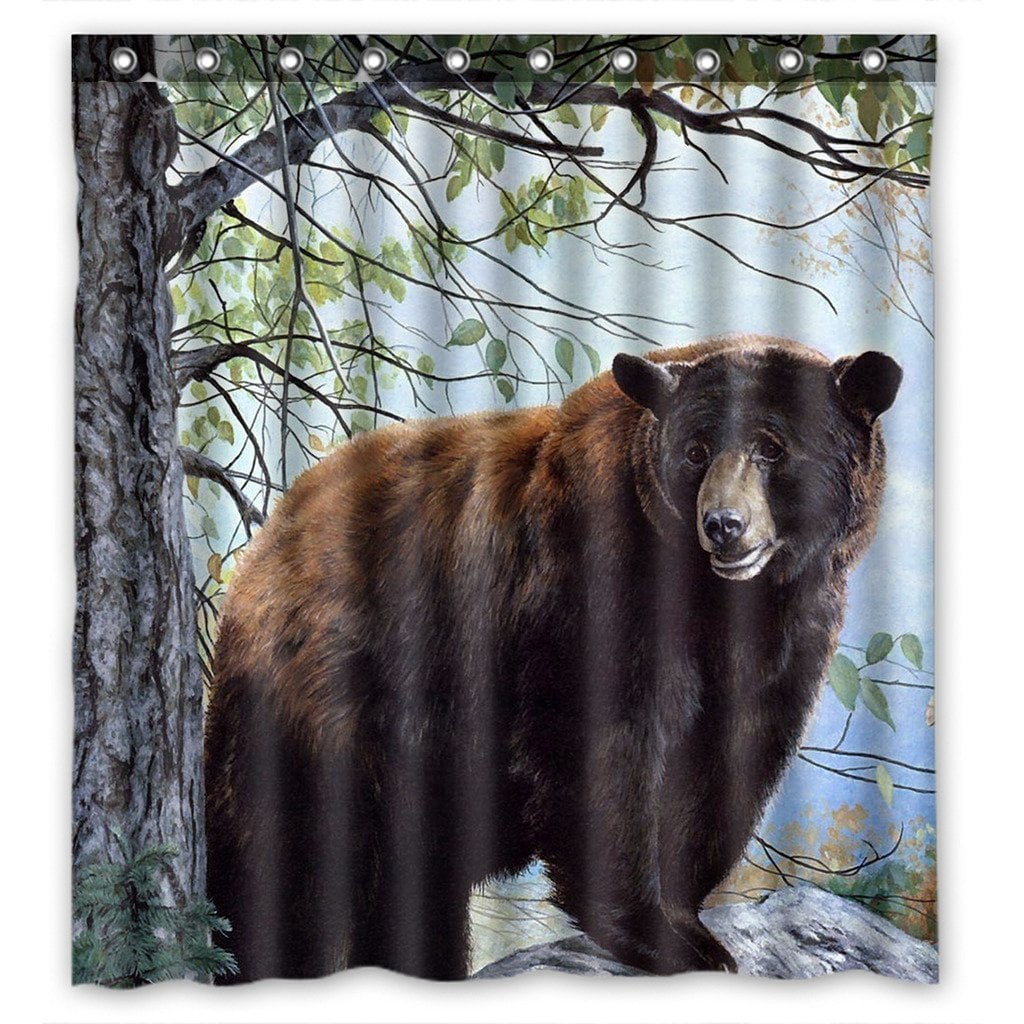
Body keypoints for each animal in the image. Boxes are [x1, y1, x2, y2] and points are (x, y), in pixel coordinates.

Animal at [204, 334, 902, 981]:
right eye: (696, 450)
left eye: (772, 448)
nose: (724, 525)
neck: (714, 597)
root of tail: (267, 542)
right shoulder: (588, 578)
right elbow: (597, 741)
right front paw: (658, 935)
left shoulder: (791, 631)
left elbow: (729, 753)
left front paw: (687, 918)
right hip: (321, 705)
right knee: (282, 868)